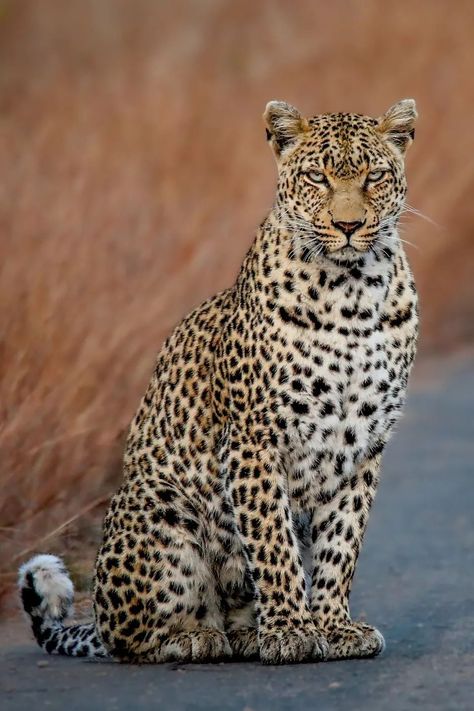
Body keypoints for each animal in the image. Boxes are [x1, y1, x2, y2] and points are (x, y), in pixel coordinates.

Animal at [18, 97, 418, 664]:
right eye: (317, 177)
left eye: (375, 176)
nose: (348, 224)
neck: (353, 292)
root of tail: (96, 619)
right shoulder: (255, 438)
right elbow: (273, 541)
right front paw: (293, 630)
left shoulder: (363, 446)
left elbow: (341, 544)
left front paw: (333, 627)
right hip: (155, 502)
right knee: (133, 637)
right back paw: (194, 637)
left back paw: (247, 633)